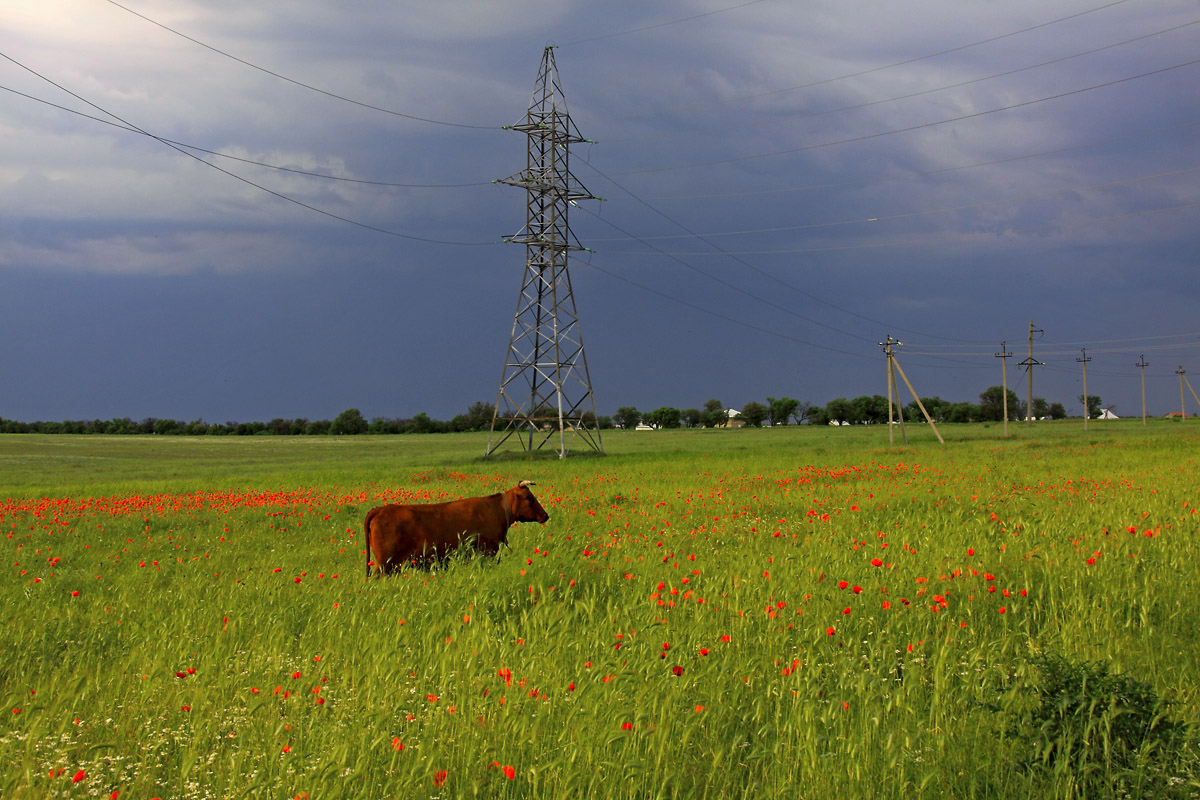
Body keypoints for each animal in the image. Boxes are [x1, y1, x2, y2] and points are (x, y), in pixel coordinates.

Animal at [364, 482, 549, 575]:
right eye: (529, 498)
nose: (545, 515)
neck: (496, 508)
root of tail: (380, 509)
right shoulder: (486, 552)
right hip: (385, 564)